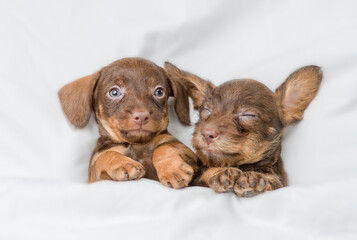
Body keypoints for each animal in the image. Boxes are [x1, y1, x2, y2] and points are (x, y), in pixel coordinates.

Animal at [59, 57, 197, 188]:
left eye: (159, 92)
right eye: (114, 92)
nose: (141, 116)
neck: (136, 144)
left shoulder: (189, 154)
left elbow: (163, 147)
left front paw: (173, 170)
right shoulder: (95, 176)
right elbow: (107, 154)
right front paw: (124, 164)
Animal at [165, 62, 322, 197]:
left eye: (248, 115)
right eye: (206, 110)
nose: (207, 133)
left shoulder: (281, 184)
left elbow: (272, 180)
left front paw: (256, 179)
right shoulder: (196, 179)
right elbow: (207, 172)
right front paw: (220, 173)